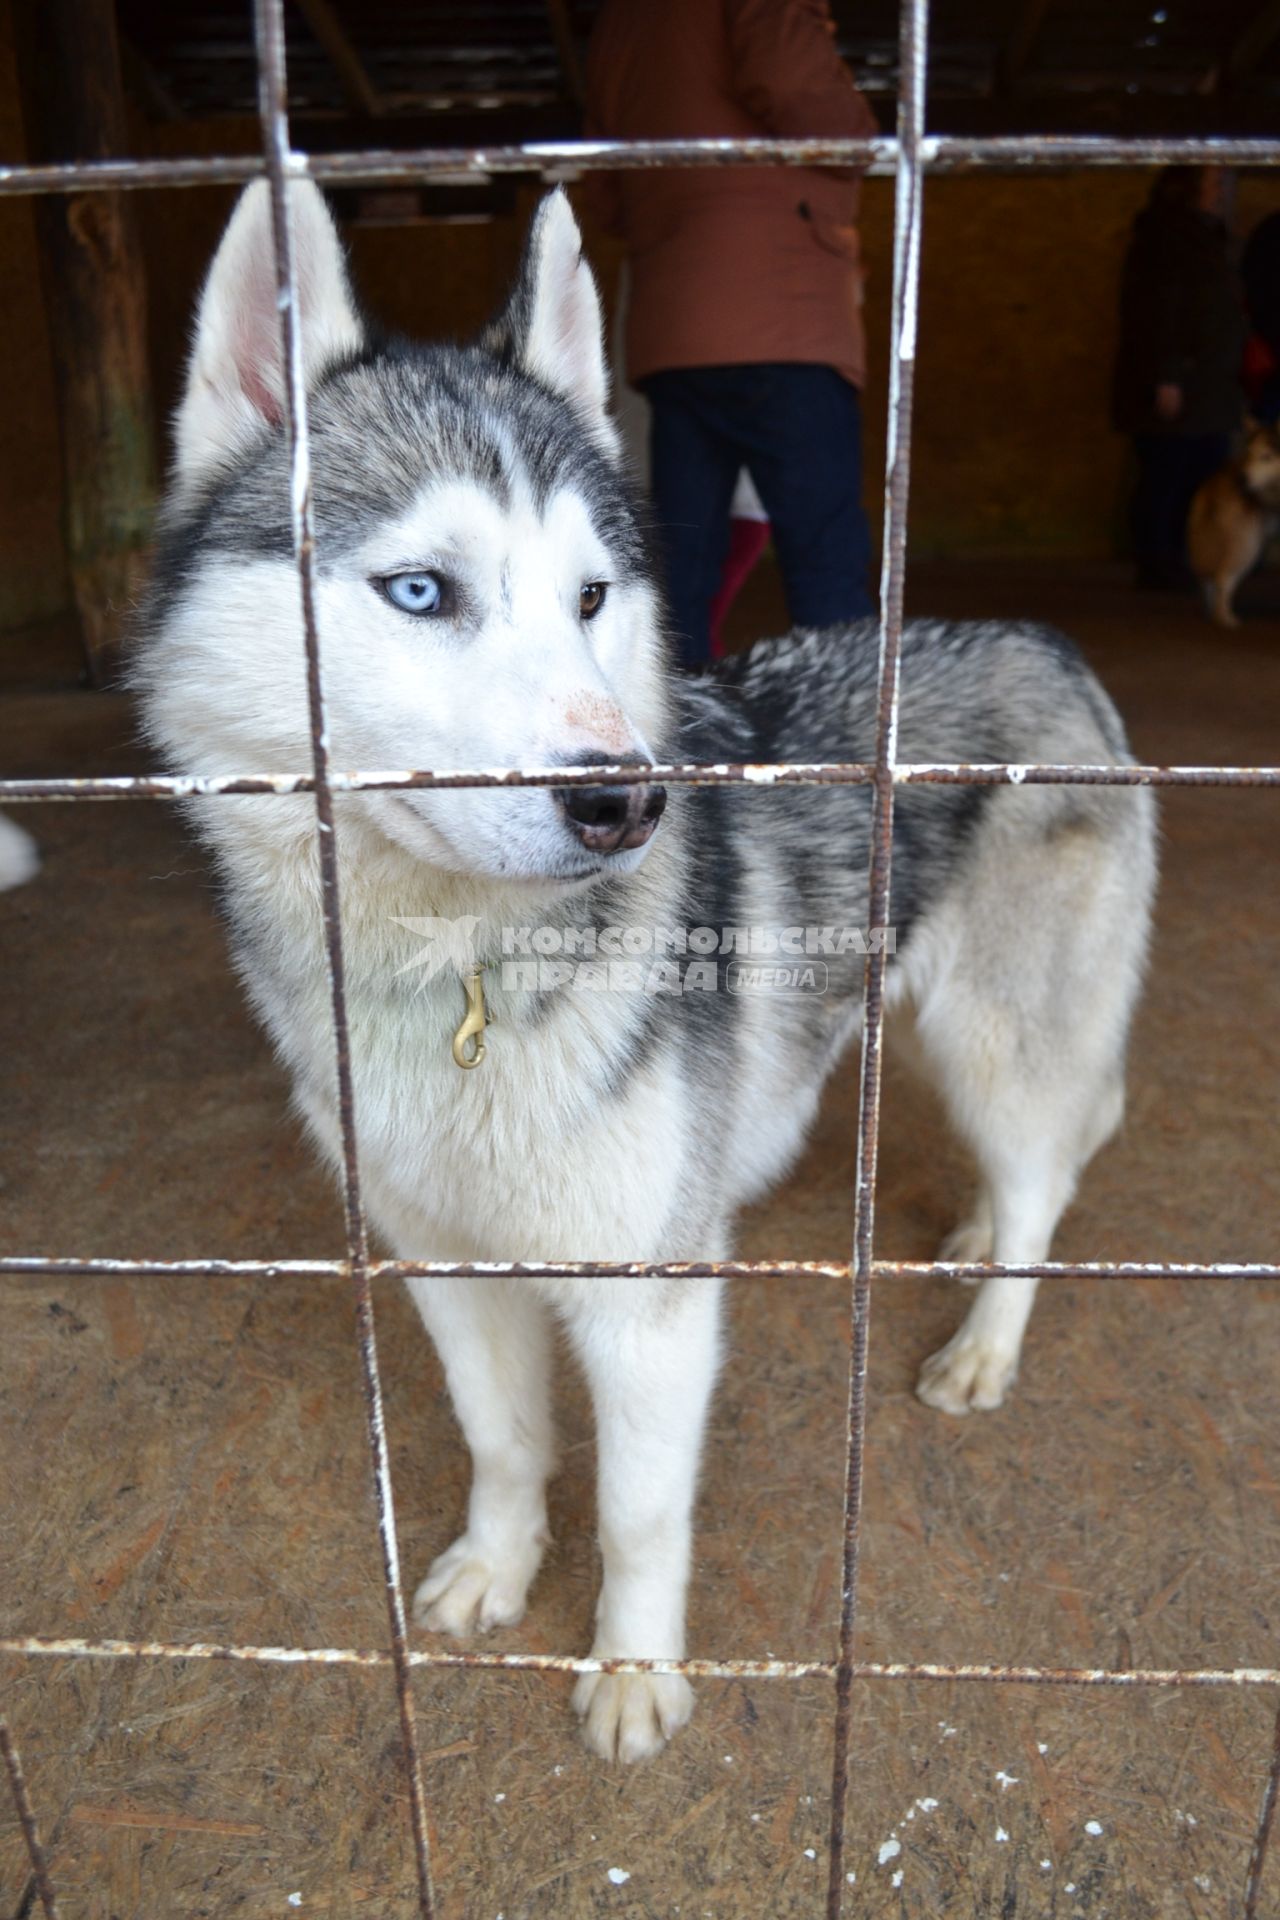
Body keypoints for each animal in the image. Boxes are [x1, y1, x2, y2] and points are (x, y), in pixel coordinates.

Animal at [140, 187, 1159, 1758]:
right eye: (420, 591)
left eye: (589, 597)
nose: (626, 804)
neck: (466, 984)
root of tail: (1037, 637)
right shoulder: (443, 1259)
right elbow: (503, 1443)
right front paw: (496, 1570)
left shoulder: (651, 1307)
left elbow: (636, 1514)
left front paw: (631, 1671)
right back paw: (977, 1238)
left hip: (995, 1045)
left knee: (1048, 1169)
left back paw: (988, 1338)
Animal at [1189, 420, 1280, 629]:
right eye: (1250, 454)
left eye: (1266, 456)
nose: (1241, 479)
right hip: (1248, 544)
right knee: (1223, 578)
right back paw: (1225, 619)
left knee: (1209, 579)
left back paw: (1211, 613)